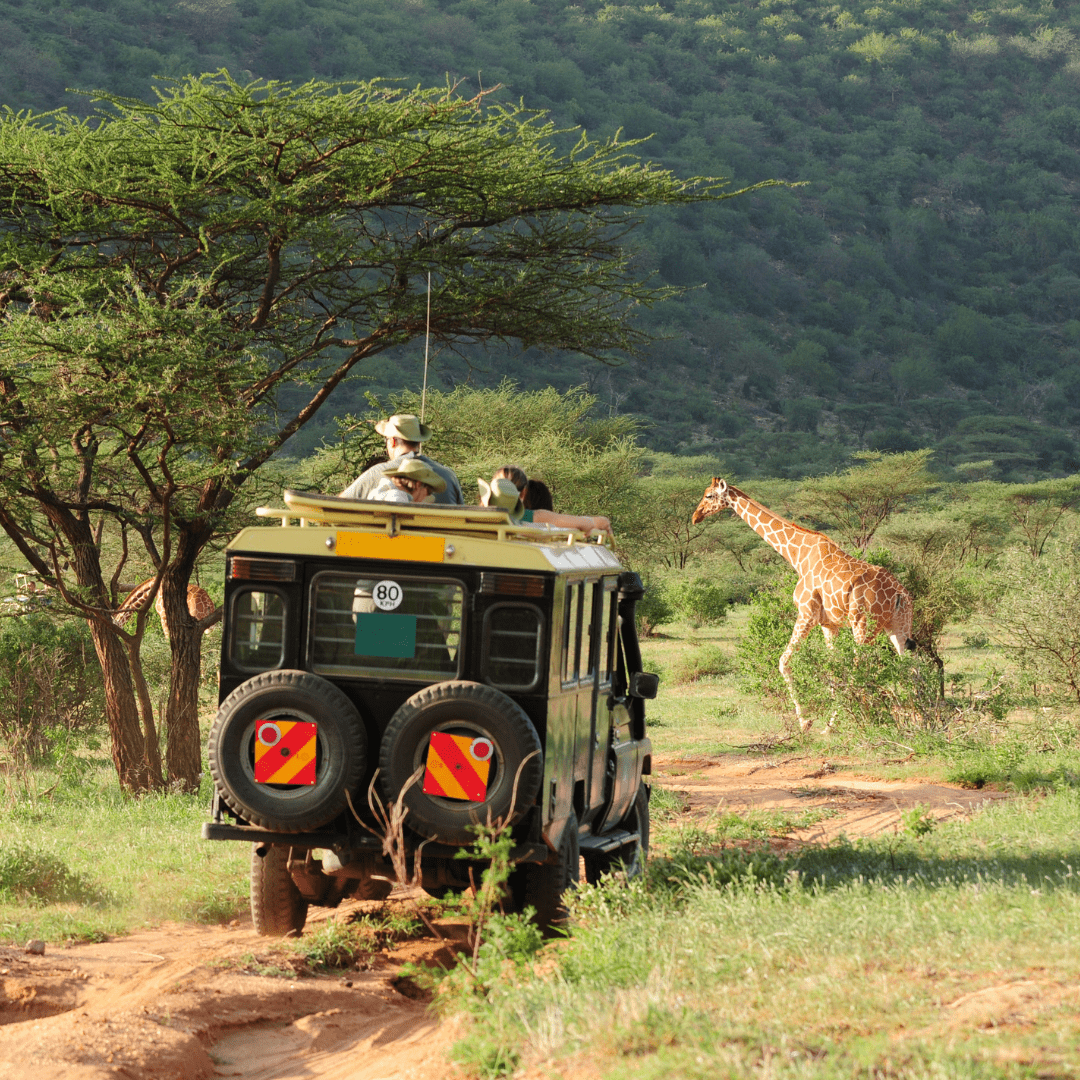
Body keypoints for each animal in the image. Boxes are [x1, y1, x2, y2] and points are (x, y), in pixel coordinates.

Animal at [691, 477, 911, 730]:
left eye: (708, 496)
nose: (695, 517)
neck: (797, 555)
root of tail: (899, 593)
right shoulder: (829, 624)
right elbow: (834, 667)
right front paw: (838, 718)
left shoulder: (807, 614)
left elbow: (783, 661)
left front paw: (807, 721)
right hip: (898, 627)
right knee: (911, 665)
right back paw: (915, 718)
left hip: (863, 625)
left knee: (861, 666)